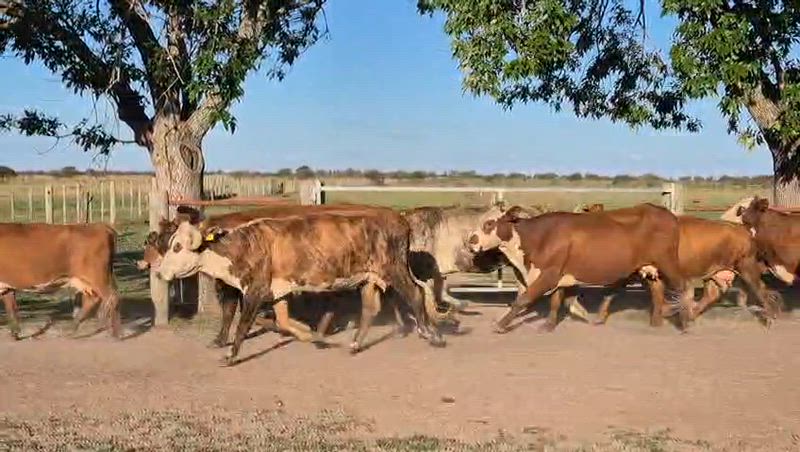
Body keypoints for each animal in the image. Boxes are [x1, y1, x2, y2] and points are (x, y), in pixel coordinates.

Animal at [155, 210, 448, 365]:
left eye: (177, 246)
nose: (160, 272)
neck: (246, 245)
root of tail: (398, 218)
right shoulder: (278, 291)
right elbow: (284, 321)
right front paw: (314, 336)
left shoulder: (255, 291)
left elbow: (243, 325)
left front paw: (230, 355)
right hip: (369, 278)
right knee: (370, 307)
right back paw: (354, 344)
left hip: (395, 270)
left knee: (415, 294)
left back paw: (432, 335)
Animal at [467, 203, 694, 333]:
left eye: (489, 223)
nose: (470, 242)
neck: (538, 237)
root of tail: (668, 215)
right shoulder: (558, 276)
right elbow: (556, 301)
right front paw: (548, 325)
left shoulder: (549, 275)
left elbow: (522, 300)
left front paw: (500, 325)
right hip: (647, 267)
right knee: (657, 291)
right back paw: (655, 323)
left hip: (668, 262)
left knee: (683, 287)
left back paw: (684, 322)